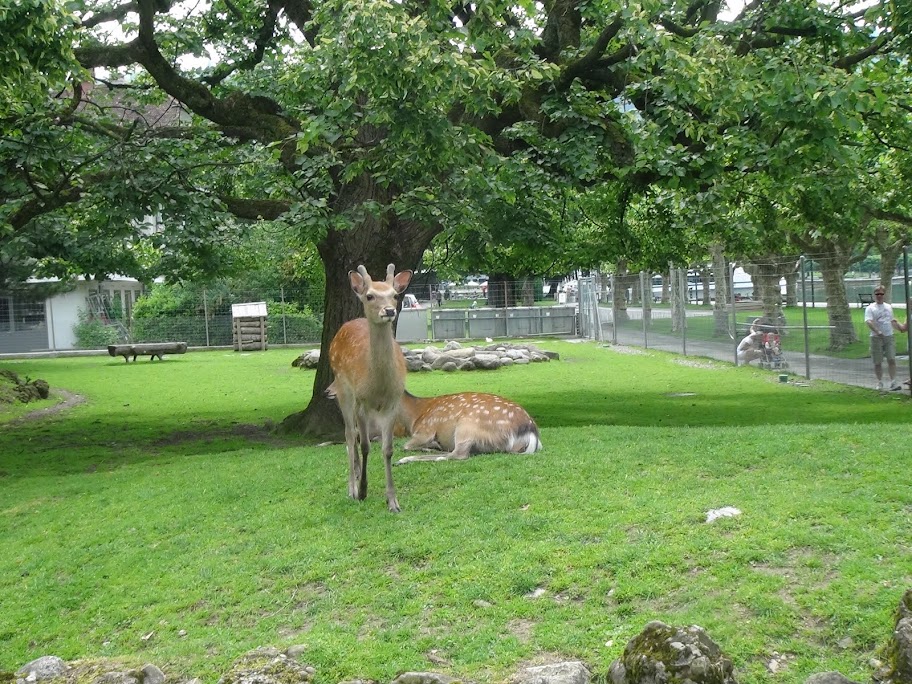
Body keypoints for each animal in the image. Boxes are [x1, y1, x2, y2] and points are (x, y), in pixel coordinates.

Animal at [330, 264, 412, 510]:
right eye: (369, 296)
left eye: (395, 295)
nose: (389, 311)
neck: (378, 385)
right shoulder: (361, 403)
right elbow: (365, 445)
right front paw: (363, 490)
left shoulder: (392, 402)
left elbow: (387, 449)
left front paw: (392, 500)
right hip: (342, 389)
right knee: (349, 435)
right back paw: (352, 487)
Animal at [394, 390, 540, 464]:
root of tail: (531, 430)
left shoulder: (425, 430)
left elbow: (405, 446)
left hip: (467, 425)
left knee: (458, 454)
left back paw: (403, 460)